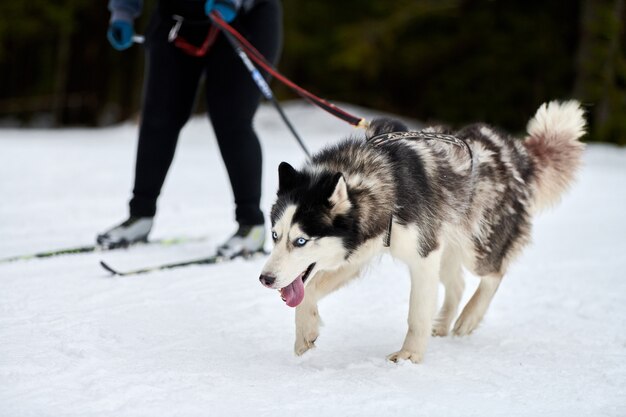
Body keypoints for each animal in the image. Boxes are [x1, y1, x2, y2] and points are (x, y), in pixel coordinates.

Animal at [258, 101, 584, 360]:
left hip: (476, 246)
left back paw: (469, 317)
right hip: (448, 244)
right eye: (275, 236)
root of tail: (517, 152)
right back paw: (442, 323)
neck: (384, 184)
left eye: (301, 240)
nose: (265, 279)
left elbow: (416, 314)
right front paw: (306, 332)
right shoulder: (357, 255)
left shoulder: (423, 257)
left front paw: (409, 356)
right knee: (458, 284)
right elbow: (309, 291)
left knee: (494, 273)